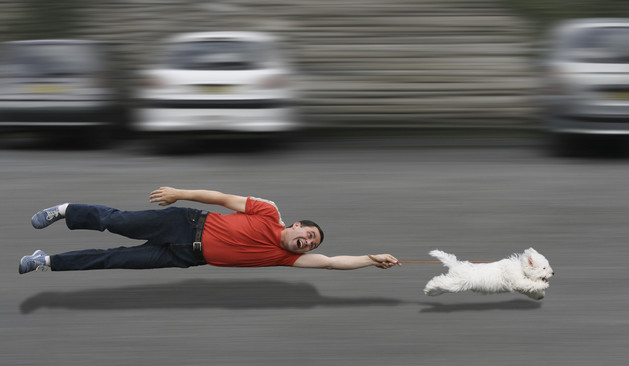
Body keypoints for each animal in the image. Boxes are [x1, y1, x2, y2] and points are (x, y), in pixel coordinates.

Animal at [424, 249, 552, 300]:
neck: (520, 267)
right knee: (439, 281)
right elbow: (531, 284)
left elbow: (530, 288)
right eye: (544, 268)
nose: (553, 273)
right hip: (457, 283)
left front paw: (539, 296)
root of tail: (456, 265)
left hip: (455, 282)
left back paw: (432, 292)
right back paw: (429, 288)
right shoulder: (518, 281)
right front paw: (543, 286)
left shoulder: (520, 285)